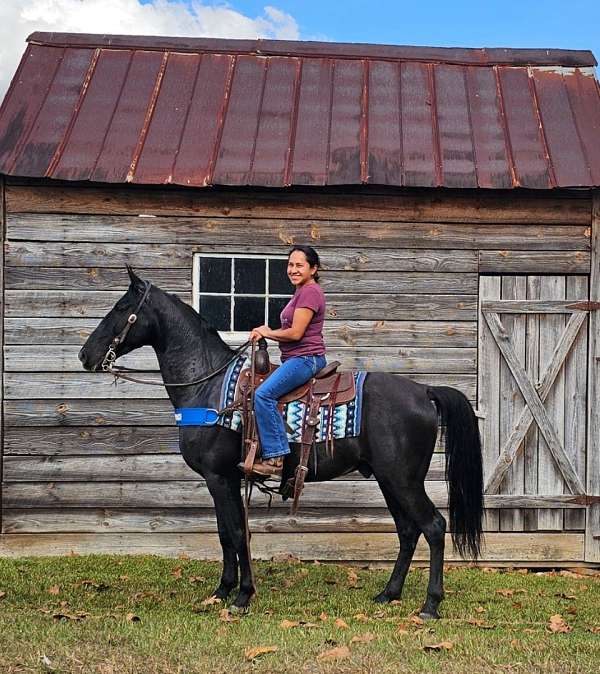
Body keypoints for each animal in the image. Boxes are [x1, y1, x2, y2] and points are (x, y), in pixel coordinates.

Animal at [78, 266, 482, 616]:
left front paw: (241, 595)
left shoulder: (219, 477)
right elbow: (226, 534)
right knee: (408, 531)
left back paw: (430, 605)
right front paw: (222, 591)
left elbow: (235, 533)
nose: (85, 355)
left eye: (122, 308)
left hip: (403, 480)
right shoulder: (223, 479)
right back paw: (388, 593)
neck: (209, 387)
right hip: (388, 479)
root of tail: (425, 390)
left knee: (433, 527)